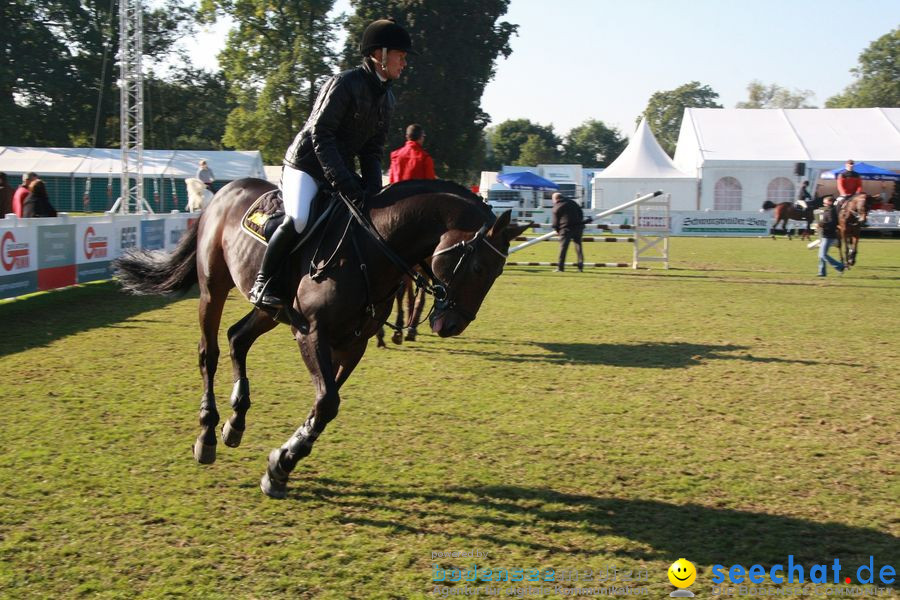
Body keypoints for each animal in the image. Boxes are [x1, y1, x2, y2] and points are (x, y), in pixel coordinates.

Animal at [115, 178, 532, 496]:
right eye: (478, 266)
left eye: (497, 271)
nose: (452, 325)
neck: (372, 250)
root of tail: (224, 191)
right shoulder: (311, 334)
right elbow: (328, 401)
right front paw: (282, 463)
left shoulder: (353, 343)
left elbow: (324, 406)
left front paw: (281, 463)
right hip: (212, 289)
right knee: (210, 352)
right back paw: (207, 435)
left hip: (269, 309)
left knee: (237, 339)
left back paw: (235, 422)